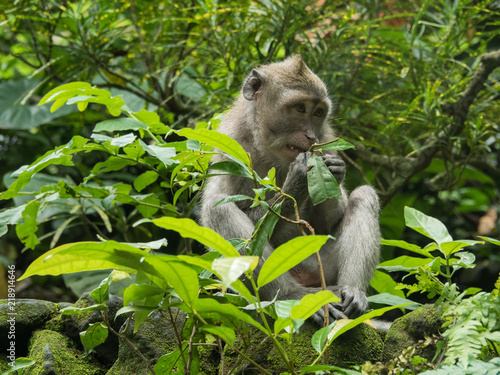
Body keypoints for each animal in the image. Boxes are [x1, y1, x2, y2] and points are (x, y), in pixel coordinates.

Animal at [199, 55, 378, 324]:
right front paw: (297, 180)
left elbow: (329, 223)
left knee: (364, 196)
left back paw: (352, 293)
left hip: (321, 266)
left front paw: (334, 170)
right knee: (218, 208)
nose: (310, 136)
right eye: (300, 108)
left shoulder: (327, 139)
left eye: (318, 112)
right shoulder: (234, 146)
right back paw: (293, 296)